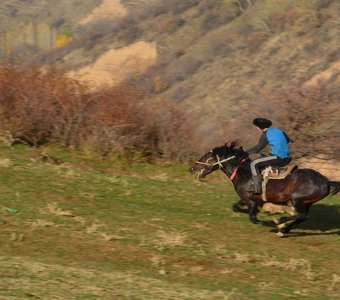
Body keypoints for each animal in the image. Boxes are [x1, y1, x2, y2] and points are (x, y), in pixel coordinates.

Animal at [189, 141, 340, 237]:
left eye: (208, 156)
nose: (191, 168)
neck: (242, 172)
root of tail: (326, 181)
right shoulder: (248, 199)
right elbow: (236, 207)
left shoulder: (251, 201)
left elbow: (253, 218)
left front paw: (270, 221)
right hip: (306, 203)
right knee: (303, 217)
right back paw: (284, 230)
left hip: (297, 199)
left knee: (301, 215)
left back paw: (281, 223)